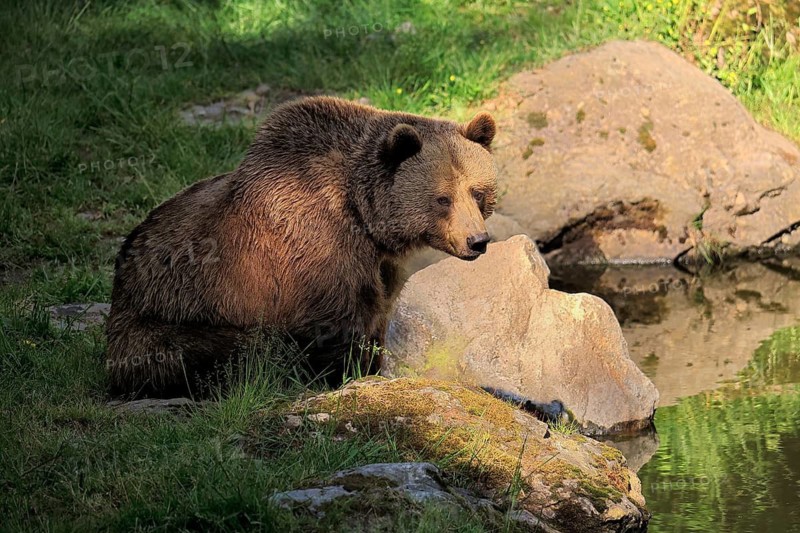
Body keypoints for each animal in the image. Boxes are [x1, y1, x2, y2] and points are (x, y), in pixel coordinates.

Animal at [106, 96, 497, 397]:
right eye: (442, 198)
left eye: (477, 192)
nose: (477, 241)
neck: (363, 214)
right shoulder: (315, 248)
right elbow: (334, 325)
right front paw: (342, 376)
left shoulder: (381, 266)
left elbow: (379, 313)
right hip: (170, 315)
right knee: (231, 350)